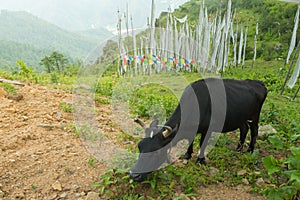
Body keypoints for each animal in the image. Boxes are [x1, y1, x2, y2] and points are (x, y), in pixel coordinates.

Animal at [129, 78, 268, 183]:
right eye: (139, 147)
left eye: (156, 152)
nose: (133, 175)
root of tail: (258, 83)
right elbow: (190, 141)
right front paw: (188, 154)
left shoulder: (208, 129)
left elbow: (202, 144)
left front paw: (200, 159)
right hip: (241, 117)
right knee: (244, 128)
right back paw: (238, 148)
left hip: (254, 116)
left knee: (254, 131)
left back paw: (250, 150)